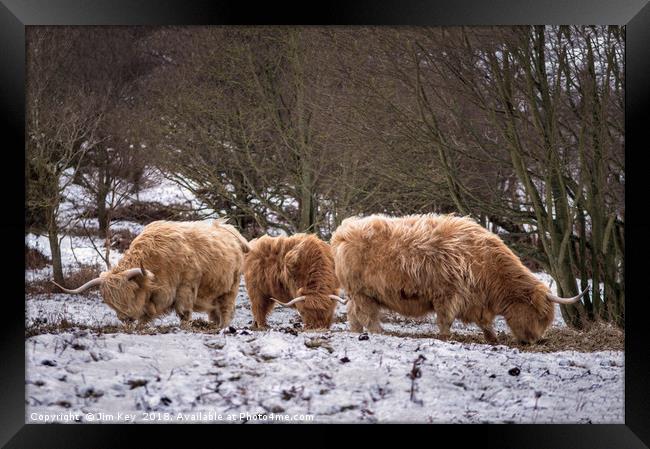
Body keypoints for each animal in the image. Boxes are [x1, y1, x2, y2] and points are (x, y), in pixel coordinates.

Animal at [53, 219, 248, 328]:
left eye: (130, 293)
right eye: (109, 301)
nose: (125, 319)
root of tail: (231, 231)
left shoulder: (185, 288)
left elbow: (184, 314)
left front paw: (185, 327)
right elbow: (144, 318)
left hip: (231, 288)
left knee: (227, 310)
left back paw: (222, 327)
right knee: (215, 312)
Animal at [332, 214, 584, 344]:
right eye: (540, 315)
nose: (535, 341)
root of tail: (343, 231)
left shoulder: (476, 302)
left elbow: (485, 323)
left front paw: (493, 339)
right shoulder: (448, 295)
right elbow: (446, 320)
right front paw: (446, 337)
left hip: (359, 295)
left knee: (354, 315)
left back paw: (357, 333)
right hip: (362, 293)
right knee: (368, 316)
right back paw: (380, 332)